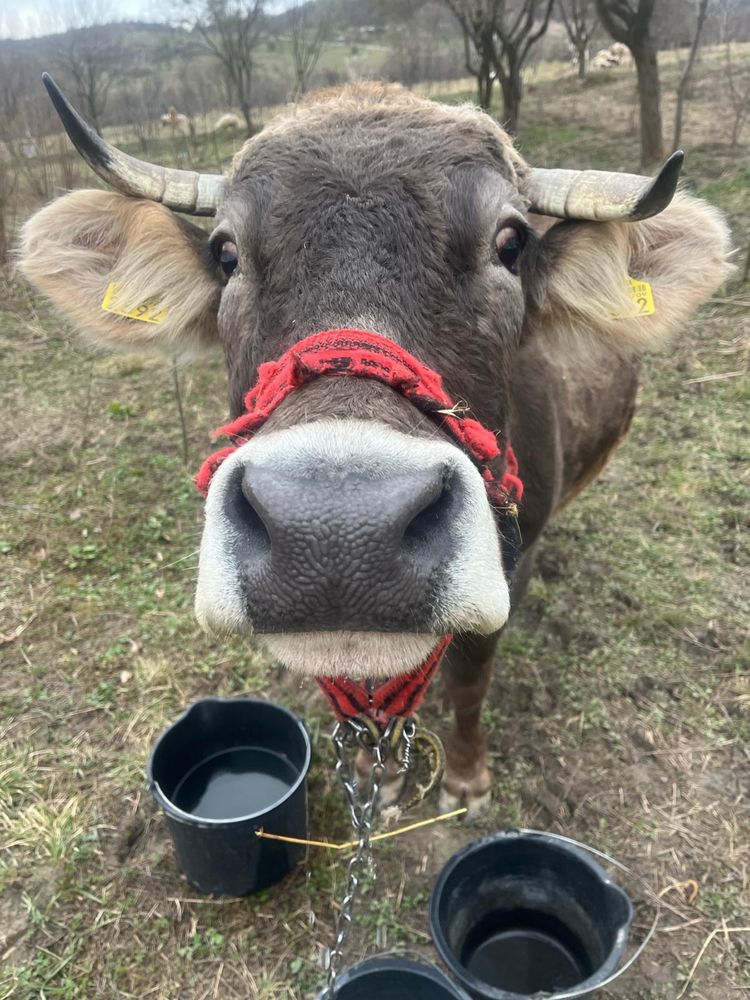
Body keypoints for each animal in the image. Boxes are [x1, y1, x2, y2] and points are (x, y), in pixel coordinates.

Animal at [20, 76, 732, 812]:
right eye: (226, 253)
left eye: (510, 244)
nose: (335, 532)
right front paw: (375, 773)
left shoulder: (512, 560)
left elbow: (470, 677)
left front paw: (466, 776)